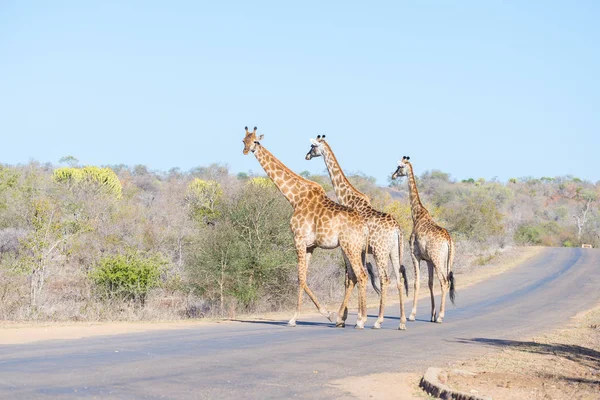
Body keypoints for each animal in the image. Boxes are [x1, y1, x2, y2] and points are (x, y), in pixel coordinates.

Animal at [243, 127, 372, 328]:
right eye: (244, 140)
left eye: (255, 141)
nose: (246, 150)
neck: (295, 198)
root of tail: (364, 227)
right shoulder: (310, 245)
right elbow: (302, 277)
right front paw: (328, 314)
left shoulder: (298, 239)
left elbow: (300, 277)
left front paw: (297, 318)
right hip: (354, 248)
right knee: (356, 275)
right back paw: (347, 318)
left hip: (350, 247)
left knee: (361, 275)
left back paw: (360, 320)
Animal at [308, 136, 410, 330]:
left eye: (312, 146)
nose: (307, 156)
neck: (347, 197)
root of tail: (397, 229)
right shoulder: (361, 250)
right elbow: (358, 276)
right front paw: (352, 317)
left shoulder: (348, 248)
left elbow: (351, 277)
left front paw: (346, 318)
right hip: (394, 251)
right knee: (398, 279)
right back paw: (401, 322)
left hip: (380, 251)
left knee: (385, 279)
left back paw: (378, 321)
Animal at [390, 156, 454, 322]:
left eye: (399, 167)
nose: (393, 176)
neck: (417, 215)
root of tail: (449, 241)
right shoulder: (429, 260)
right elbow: (430, 283)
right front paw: (432, 314)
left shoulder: (415, 255)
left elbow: (417, 283)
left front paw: (412, 315)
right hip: (447, 260)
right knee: (446, 280)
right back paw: (438, 315)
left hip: (438, 259)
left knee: (444, 282)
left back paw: (441, 317)